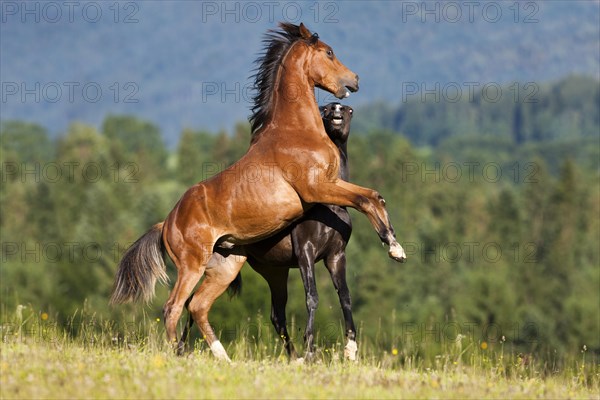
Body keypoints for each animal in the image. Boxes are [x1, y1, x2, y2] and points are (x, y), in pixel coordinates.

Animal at [178, 102, 356, 360]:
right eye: (324, 109)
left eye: (348, 109)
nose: (335, 111)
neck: (330, 207)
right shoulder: (306, 252)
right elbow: (312, 297)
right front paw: (310, 350)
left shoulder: (335, 256)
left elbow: (345, 297)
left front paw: (351, 349)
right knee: (191, 301)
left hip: (275, 272)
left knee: (275, 315)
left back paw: (293, 356)